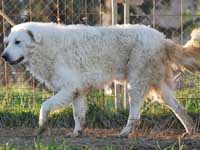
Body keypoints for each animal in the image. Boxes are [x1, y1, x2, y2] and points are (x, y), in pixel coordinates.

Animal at [1, 21, 198, 138]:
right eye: (8, 42)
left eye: (18, 42)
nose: (4, 56)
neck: (46, 46)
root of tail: (162, 39)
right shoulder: (77, 91)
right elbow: (78, 115)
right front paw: (76, 133)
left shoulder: (68, 88)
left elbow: (45, 106)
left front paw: (41, 127)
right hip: (159, 89)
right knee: (178, 107)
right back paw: (191, 130)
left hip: (136, 85)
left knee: (135, 114)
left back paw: (125, 132)